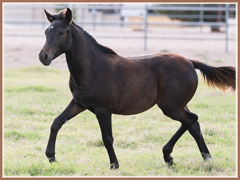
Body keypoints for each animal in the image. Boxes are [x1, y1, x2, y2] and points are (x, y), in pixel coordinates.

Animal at [38, 8, 235, 169]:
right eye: (46, 31)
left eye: (62, 32)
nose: (43, 56)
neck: (93, 67)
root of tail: (190, 61)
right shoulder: (79, 103)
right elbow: (56, 122)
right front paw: (51, 157)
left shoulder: (103, 109)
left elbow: (107, 138)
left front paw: (114, 165)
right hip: (179, 105)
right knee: (194, 125)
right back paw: (206, 158)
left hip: (170, 107)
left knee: (191, 119)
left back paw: (168, 155)